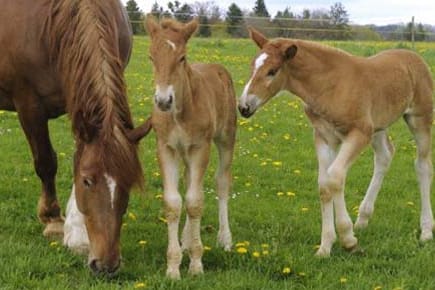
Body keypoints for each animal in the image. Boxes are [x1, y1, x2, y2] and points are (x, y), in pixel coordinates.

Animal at [0, 0, 150, 276]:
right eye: (87, 182)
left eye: (129, 184)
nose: (107, 265)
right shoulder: (29, 104)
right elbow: (46, 163)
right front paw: (53, 221)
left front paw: (78, 234)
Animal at [145, 16, 237, 278]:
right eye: (151, 57)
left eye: (182, 57)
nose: (163, 101)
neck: (178, 112)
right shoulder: (166, 148)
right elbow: (174, 202)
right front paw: (173, 267)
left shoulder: (199, 148)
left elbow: (195, 202)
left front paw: (196, 264)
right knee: (188, 183)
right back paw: (185, 240)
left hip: (226, 138)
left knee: (222, 182)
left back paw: (224, 239)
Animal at [240, 28, 434, 258]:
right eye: (252, 66)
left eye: (272, 71)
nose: (243, 107)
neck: (328, 85)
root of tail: (414, 57)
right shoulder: (324, 137)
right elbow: (324, 184)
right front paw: (325, 247)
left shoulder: (359, 133)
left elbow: (335, 177)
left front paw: (348, 239)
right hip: (378, 126)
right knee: (385, 155)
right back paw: (363, 218)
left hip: (419, 118)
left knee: (422, 166)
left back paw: (426, 231)